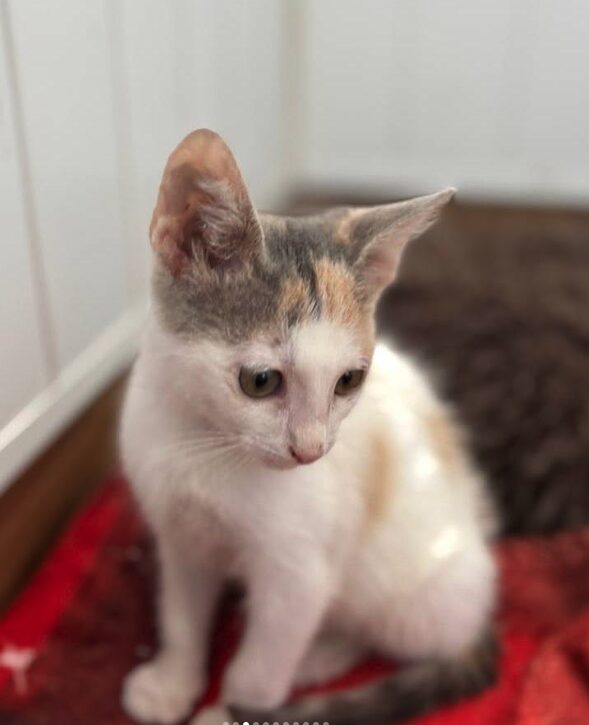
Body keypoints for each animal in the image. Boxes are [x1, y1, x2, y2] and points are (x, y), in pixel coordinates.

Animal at [119, 130, 496, 724]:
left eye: (348, 380)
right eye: (260, 381)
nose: (311, 451)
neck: (206, 444)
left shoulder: (297, 575)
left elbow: (262, 662)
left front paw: (231, 709)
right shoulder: (181, 537)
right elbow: (181, 615)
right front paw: (173, 683)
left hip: (411, 592)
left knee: (376, 632)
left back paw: (319, 657)